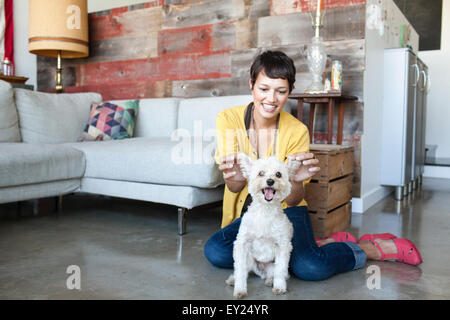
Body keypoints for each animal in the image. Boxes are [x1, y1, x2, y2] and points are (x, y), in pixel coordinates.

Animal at [227, 154, 300, 298]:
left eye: (278, 174)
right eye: (261, 173)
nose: (270, 181)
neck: (265, 210)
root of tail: (260, 270)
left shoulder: (283, 246)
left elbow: (280, 270)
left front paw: (279, 287)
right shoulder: (242, 243)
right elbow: (240, 270)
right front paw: (239, 289)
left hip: (271, 266)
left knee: (274, 273)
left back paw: (270, 281)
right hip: (249, 259)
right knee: (243, 270)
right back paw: (233, 279)